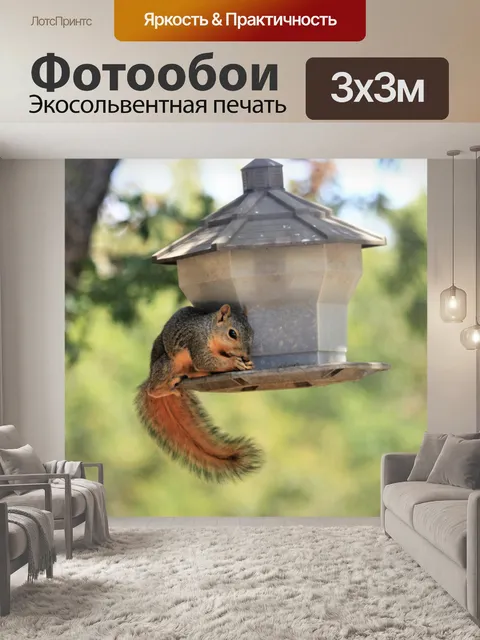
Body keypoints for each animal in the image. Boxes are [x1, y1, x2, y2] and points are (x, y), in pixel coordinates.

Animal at [135, 304, 264, 482]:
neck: (210, 330)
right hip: (167, 365)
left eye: (252, 332)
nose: (245, 355)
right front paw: (234, 362)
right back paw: (165, 387)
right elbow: (205, 360)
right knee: (153, 389)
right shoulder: (197, 341)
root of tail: (151, 374)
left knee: (193, 371)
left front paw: (245, 362)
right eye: (232, 333)